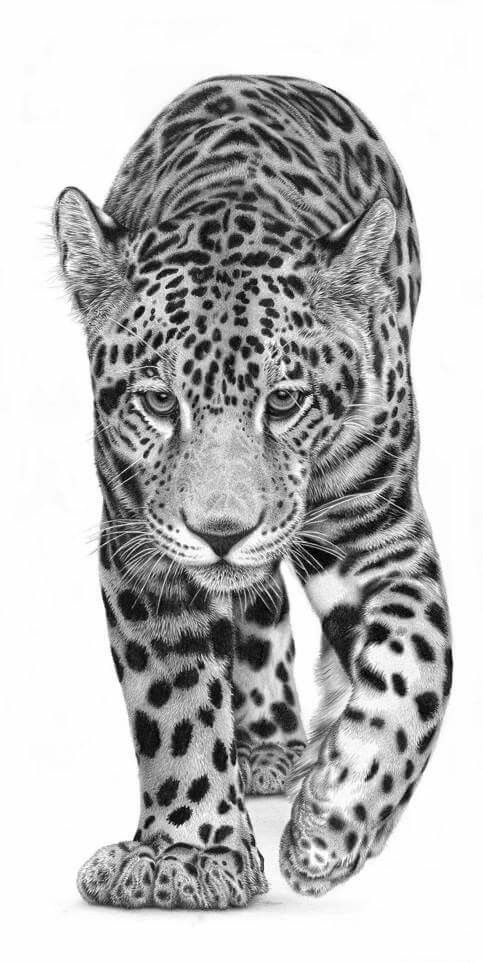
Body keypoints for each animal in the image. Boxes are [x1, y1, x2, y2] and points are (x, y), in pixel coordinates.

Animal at [53, 75, 452, 909]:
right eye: (158, 401)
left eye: (285, 401)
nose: (222, 531)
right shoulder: (142, 553)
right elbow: (174, 700)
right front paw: (187, 850)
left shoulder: (383, 538)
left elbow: (411, 674)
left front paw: (330, 826)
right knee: (255, 607)